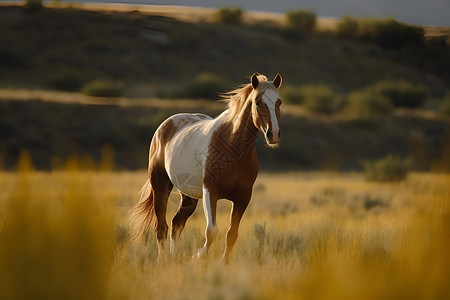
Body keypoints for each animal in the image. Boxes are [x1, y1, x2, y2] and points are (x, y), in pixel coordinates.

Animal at [128, 72, 282, 262]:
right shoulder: (211, 193)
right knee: (161, 227)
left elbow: (232, 234)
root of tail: (165, 126)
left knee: (176, 224)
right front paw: (199, 256)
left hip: (188, 196)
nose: (273, 134)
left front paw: (224, 263)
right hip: (160, 186)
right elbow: (212, 231)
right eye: (258, 102)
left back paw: (173, 257)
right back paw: (163, 260)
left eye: (279, 102)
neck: (233, 148)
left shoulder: (243, 198)